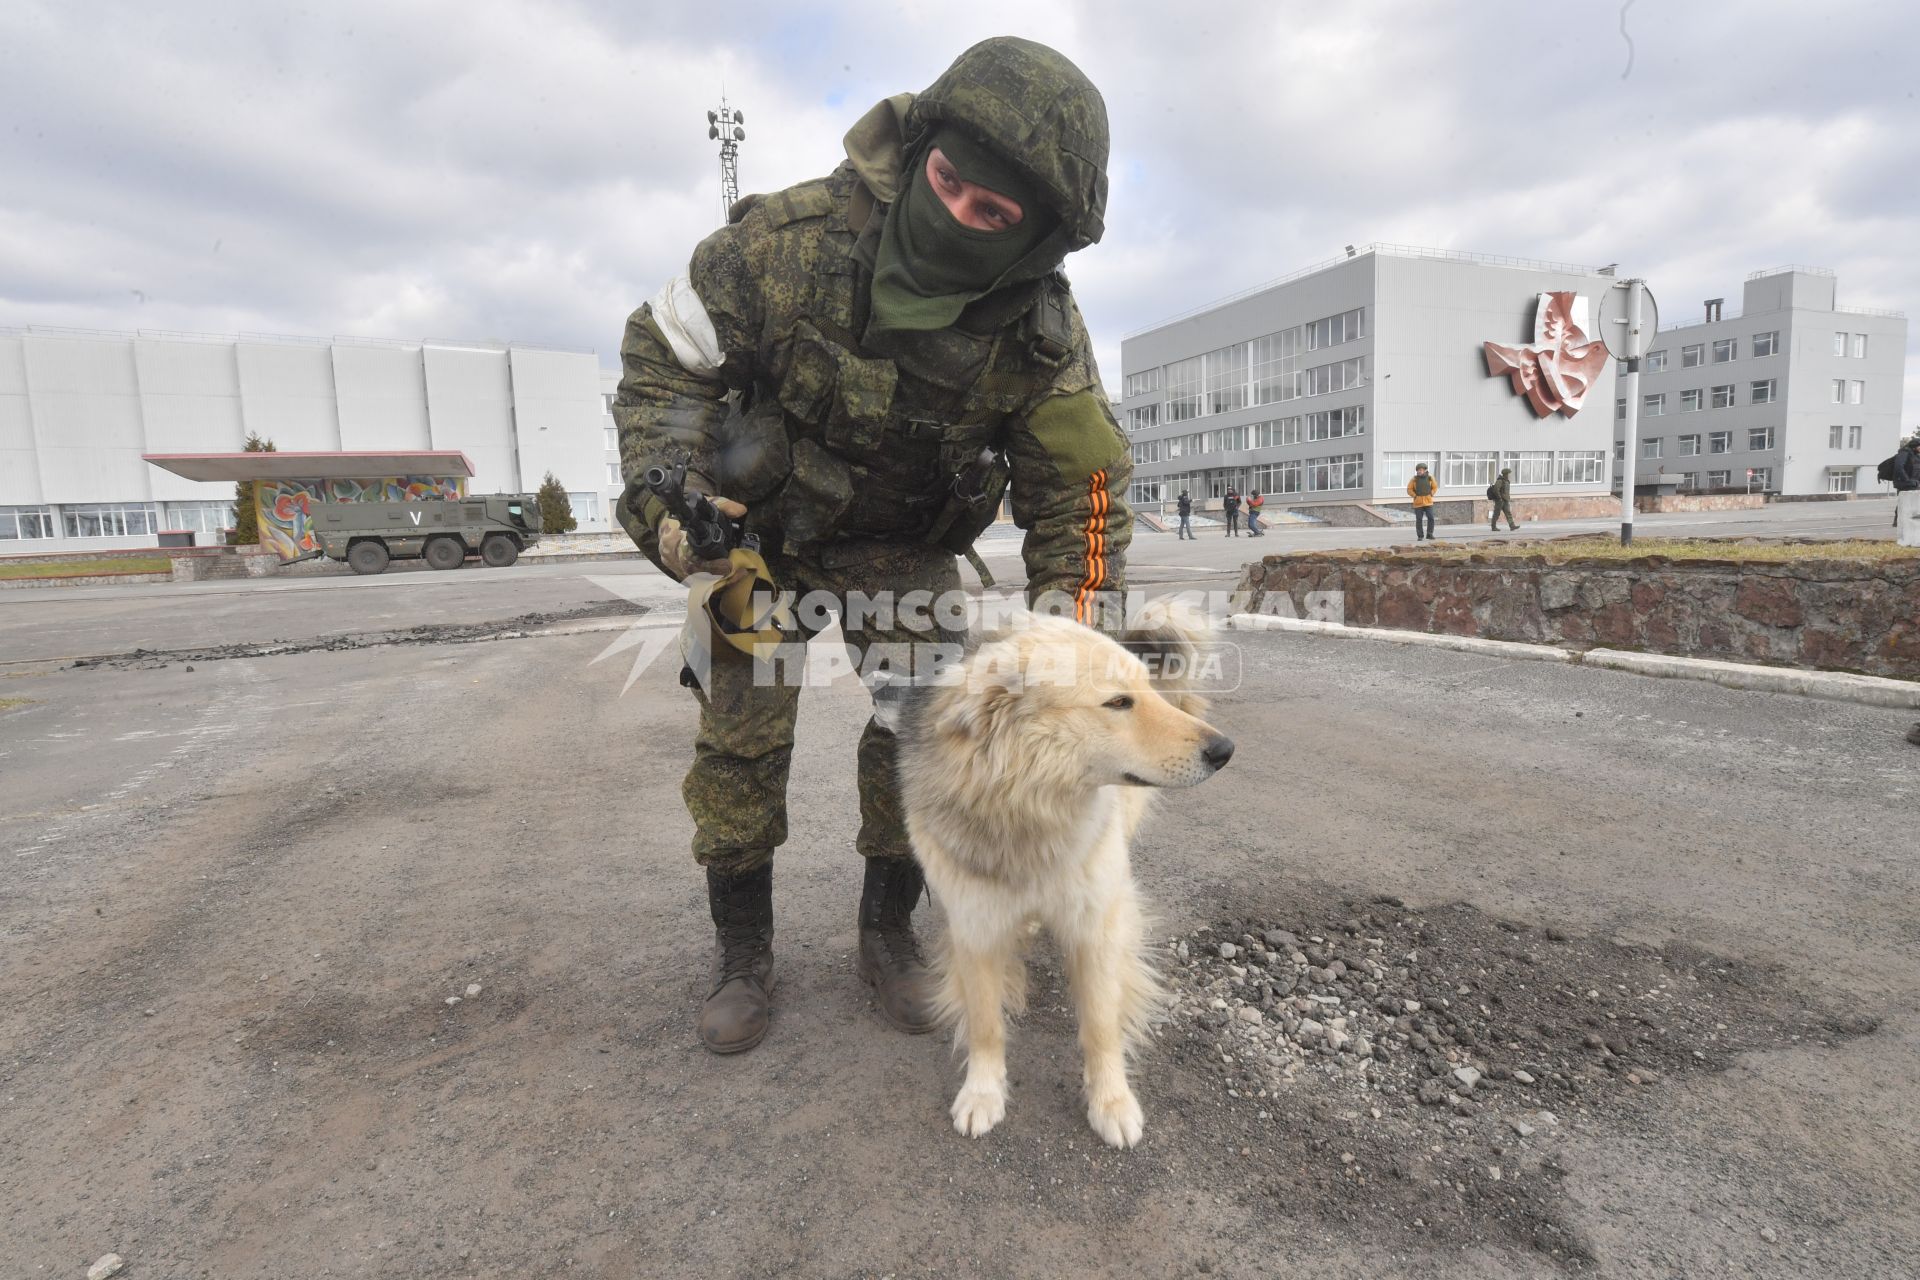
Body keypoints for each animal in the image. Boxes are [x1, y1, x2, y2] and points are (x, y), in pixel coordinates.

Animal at [894, 610, 1236, 1151]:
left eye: (1146, 691)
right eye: (1118, 702)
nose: (1225, 750)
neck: (1029, 812)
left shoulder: (1094, 924)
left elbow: (1100, 1023)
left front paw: (1111, 1101)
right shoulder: (976, 926)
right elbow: (985, 1024)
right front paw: (982, 1092)